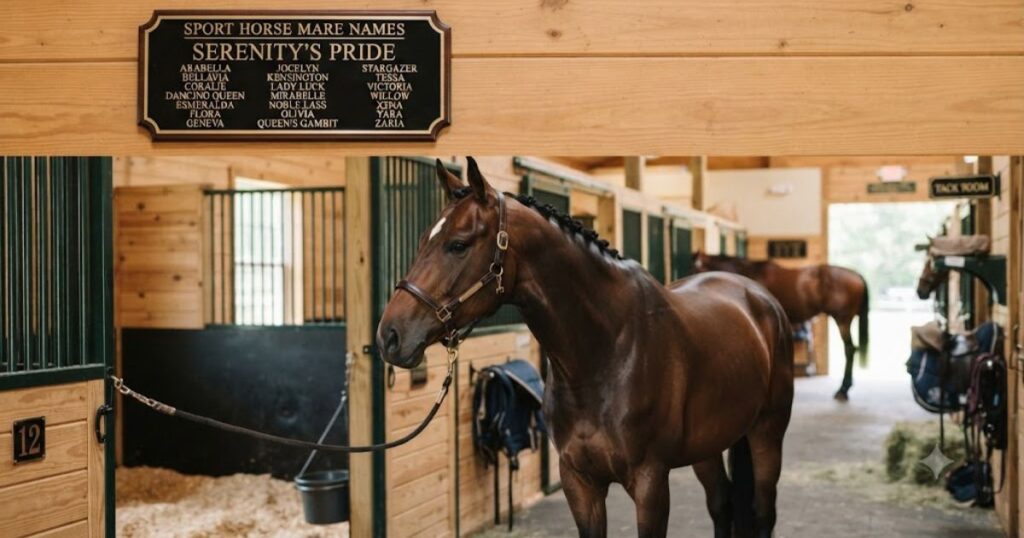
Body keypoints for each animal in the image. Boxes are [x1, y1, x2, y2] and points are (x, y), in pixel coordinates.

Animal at [377, 158, 794, 537]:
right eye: (422, 241)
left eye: (458, 244)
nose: (390, 336)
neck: (605, 354)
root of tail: (758, 296)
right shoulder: (579, 481)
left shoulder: (651, 483)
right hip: (708, 445)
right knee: (721, 504)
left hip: (767, 433)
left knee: (764, 512)